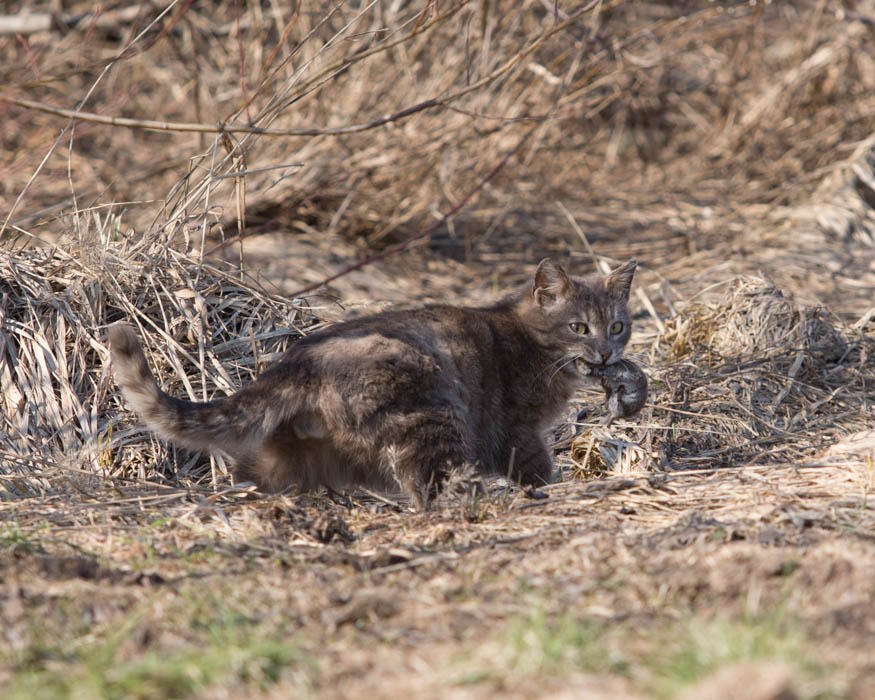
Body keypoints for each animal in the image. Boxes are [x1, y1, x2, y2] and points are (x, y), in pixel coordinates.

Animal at [113, 258, 640, 508]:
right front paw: (547, 491)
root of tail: (299, 360)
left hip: (285, 454)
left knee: (256, 475)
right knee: (432, 487)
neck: (529, 337)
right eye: (579, 327)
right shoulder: (517, 431)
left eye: (617, 326)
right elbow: (537, 468)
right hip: (433, 414)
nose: (607, 353)